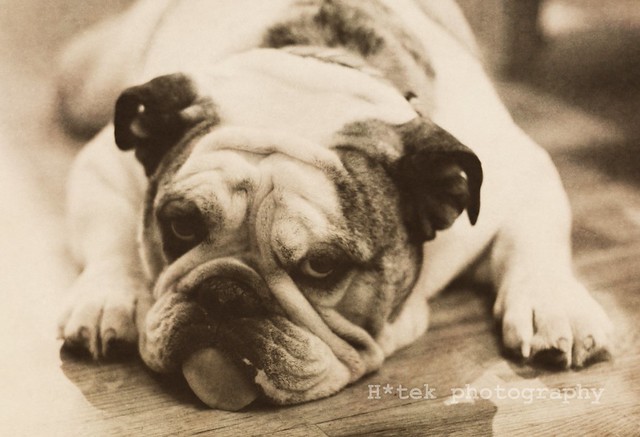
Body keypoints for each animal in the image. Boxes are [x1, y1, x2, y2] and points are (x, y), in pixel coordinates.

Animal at [57, 0, 612, 407]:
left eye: (322, 266)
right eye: (181, 227)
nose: (226, 291)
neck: (320, 68)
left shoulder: (524, 172)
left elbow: (537, 240)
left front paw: (554, 306)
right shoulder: (102, 167)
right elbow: (113, 238)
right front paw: (111, 298)